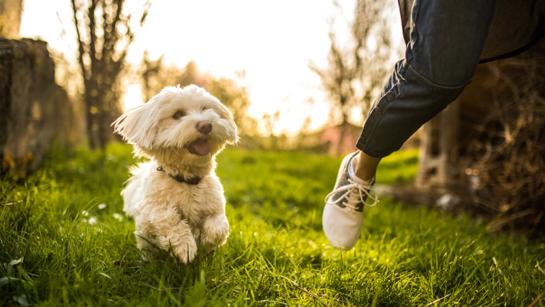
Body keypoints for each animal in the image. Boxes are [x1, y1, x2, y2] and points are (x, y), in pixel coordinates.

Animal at [112, 85, 236, 264]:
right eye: (177, 115)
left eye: (205, 109)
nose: (205, 125)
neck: (186, 180)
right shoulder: (153, 209)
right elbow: (171, 220)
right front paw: (186, 247)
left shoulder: (215, 206)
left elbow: (218, 224)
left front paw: (208, 239)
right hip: (145, 237)